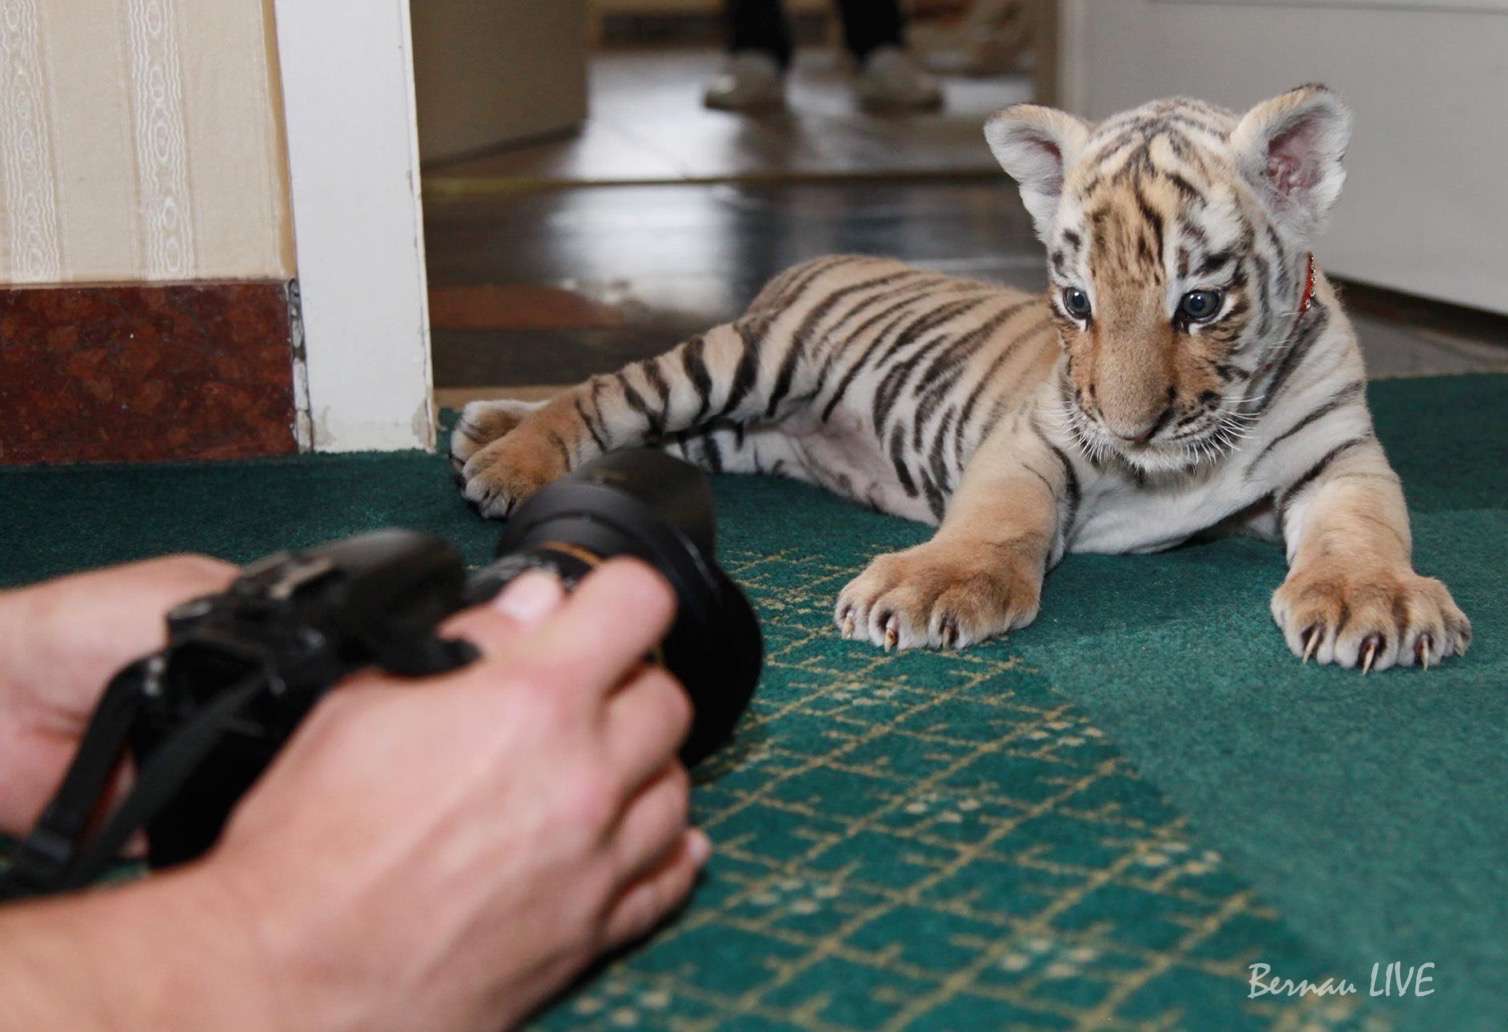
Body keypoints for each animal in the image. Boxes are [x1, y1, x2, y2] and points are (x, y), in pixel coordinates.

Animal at [452, 84, 1470, 672]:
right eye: (1075, 302)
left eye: (1200, 305)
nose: (1130, 432)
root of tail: (814, 260)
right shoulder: (1033, 442)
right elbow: (996, 520)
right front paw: (934, 587)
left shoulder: (1340, 458)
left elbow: (1362, 527)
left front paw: (1369, 597)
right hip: (742, 363)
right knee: (607, 393)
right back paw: (506, 459)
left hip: (742, 431)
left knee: (643, 426)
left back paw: (484, 426)